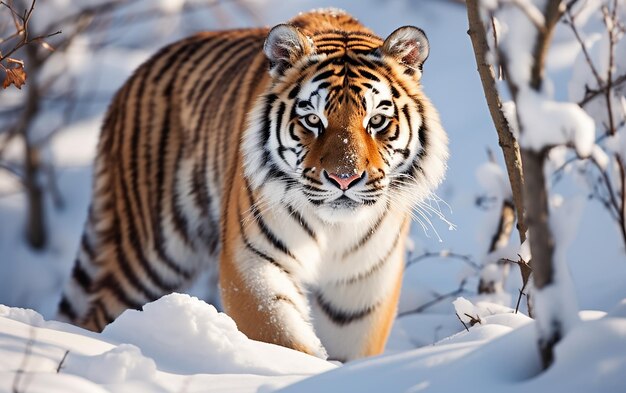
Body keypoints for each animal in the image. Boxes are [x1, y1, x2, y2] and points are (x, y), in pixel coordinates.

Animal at [56, 7, 446, 360]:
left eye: (377, 121)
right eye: (313, 120)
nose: (344, 178)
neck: (333, 230)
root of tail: (134, 74)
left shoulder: (361, 287)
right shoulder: (253, 261)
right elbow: (279, 337)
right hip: (148, 253)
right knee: (97, 312)